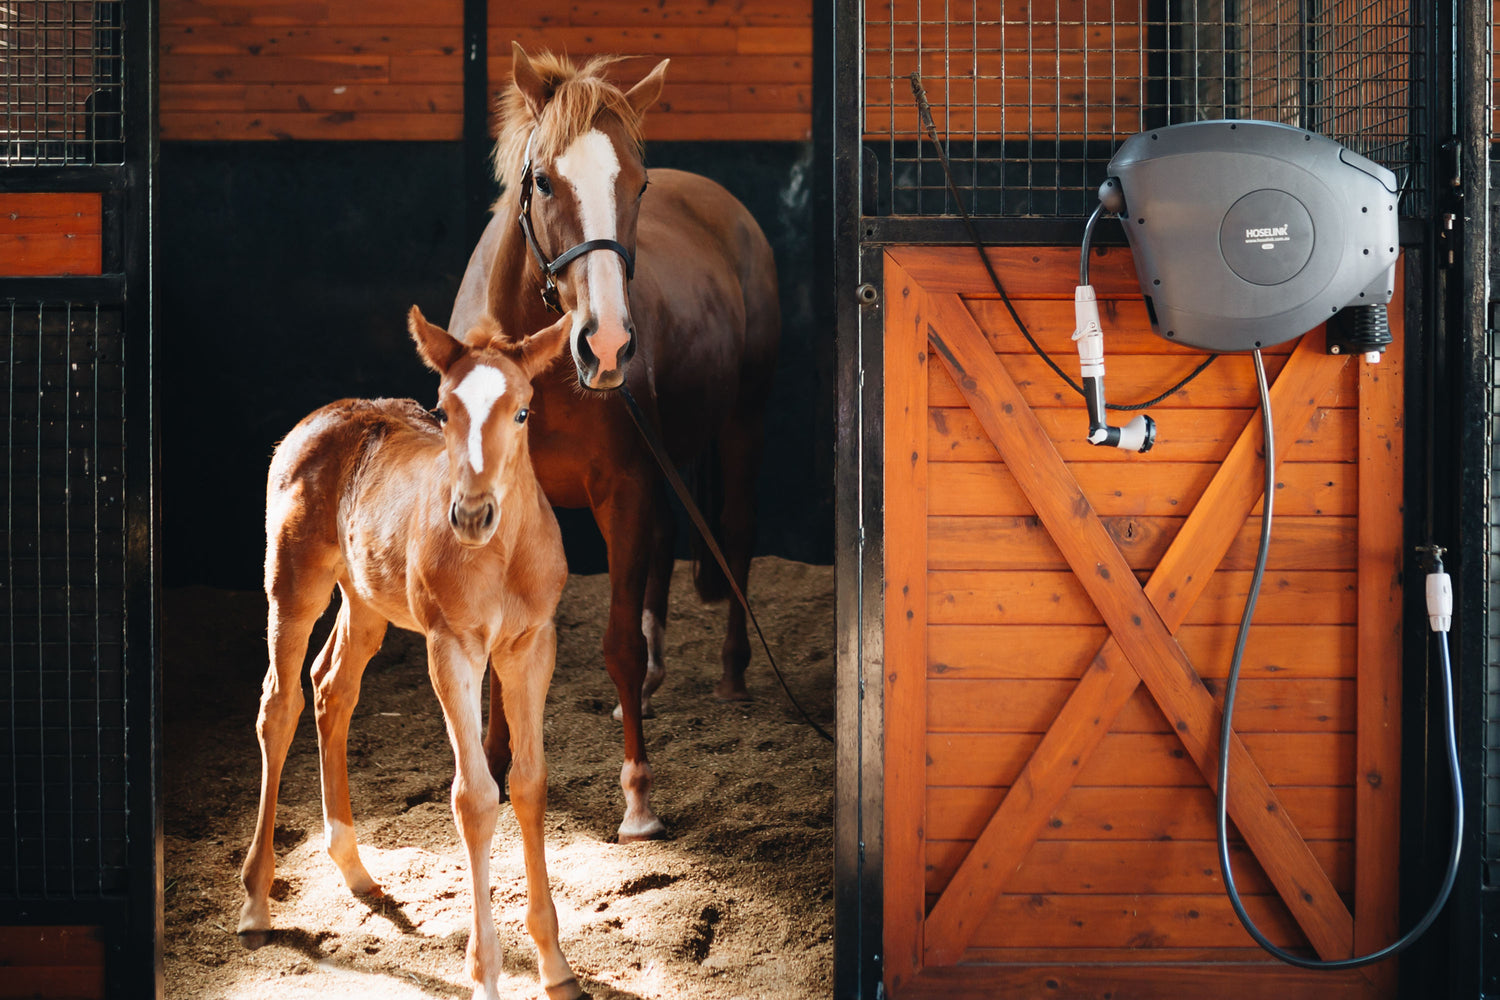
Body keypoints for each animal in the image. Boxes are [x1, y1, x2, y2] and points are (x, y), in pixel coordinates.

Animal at [238, 307, 579, 1000]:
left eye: (523, 411)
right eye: (443, 410)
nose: (471, 515)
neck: (502, 555)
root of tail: (318, 418)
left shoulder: (531, 646)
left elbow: (528, 782)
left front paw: (554, 963)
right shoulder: (453, 646)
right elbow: (475, 797)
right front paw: (485, 974)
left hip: (366, 598)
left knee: (331, 686)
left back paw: (353, 867)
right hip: (292, 581)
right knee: (279, 704)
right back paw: (257, 899)